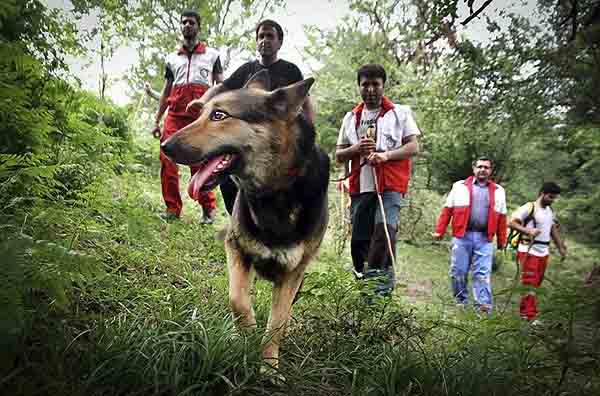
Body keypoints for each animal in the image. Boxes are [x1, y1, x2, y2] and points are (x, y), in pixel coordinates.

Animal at [161, 69, 328, 370]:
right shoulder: (237, 248)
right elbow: (238, 300)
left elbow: (277, 322)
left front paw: (269, 367)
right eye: (201, 113)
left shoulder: (293, 272)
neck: (275, 189)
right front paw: (246, 336)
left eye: (219, 115)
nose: (164, 145)